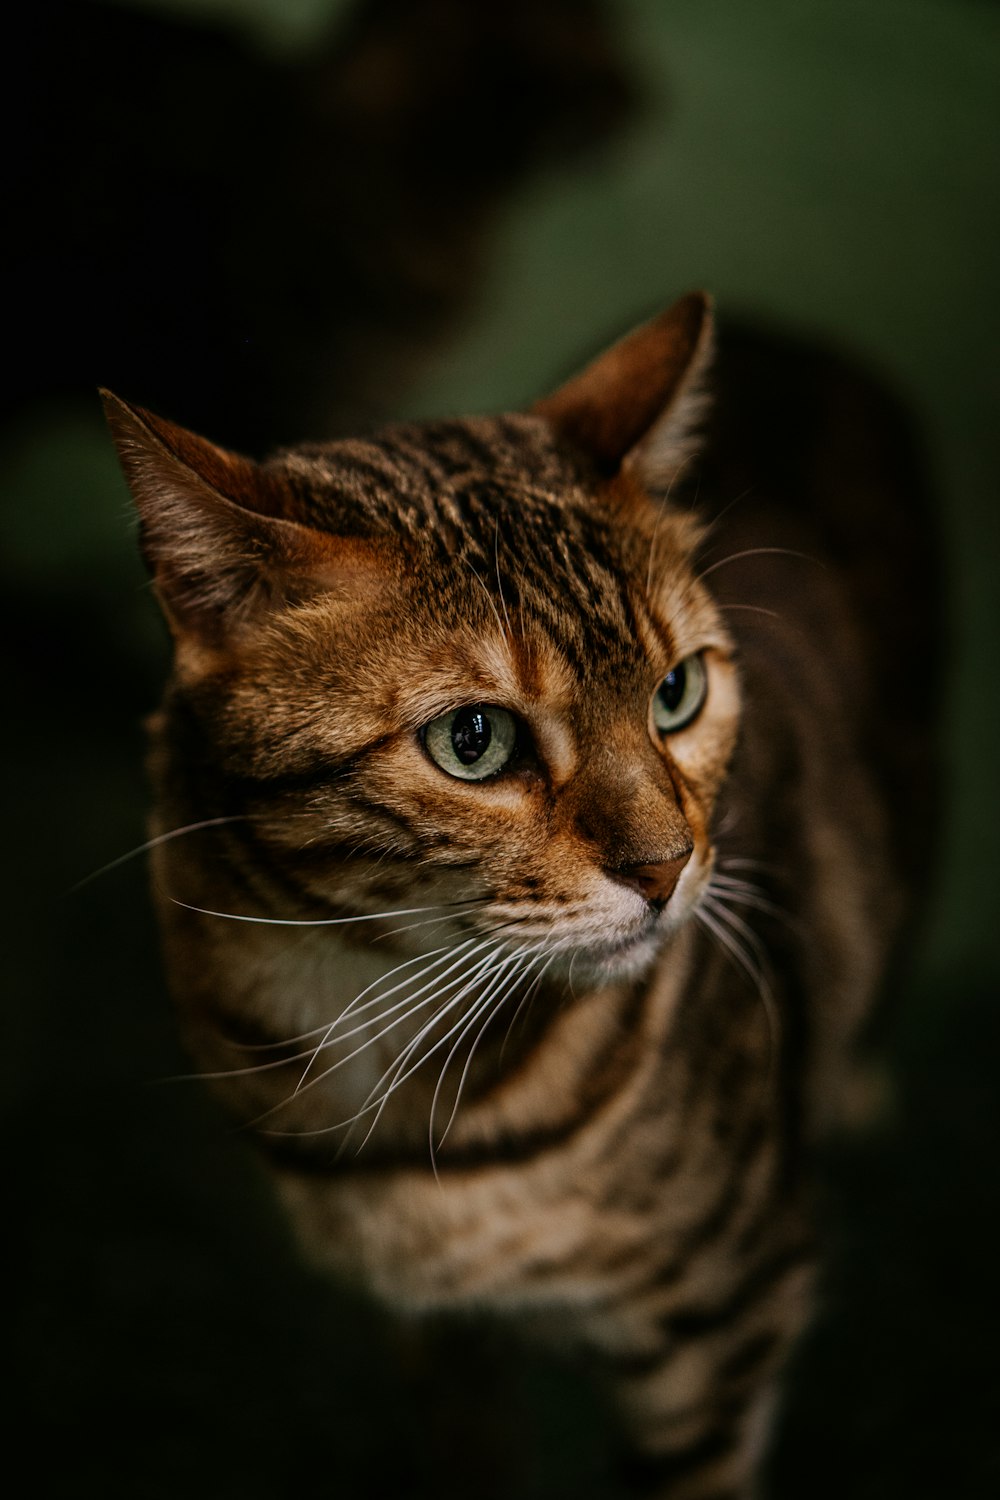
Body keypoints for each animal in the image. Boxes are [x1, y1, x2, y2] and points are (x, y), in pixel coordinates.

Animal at [103, 295, 941, 1500]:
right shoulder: (431, 1338)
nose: (667, 866)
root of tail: (798, 333)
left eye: (676, 693)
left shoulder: (721, 1330)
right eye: (474, 740)